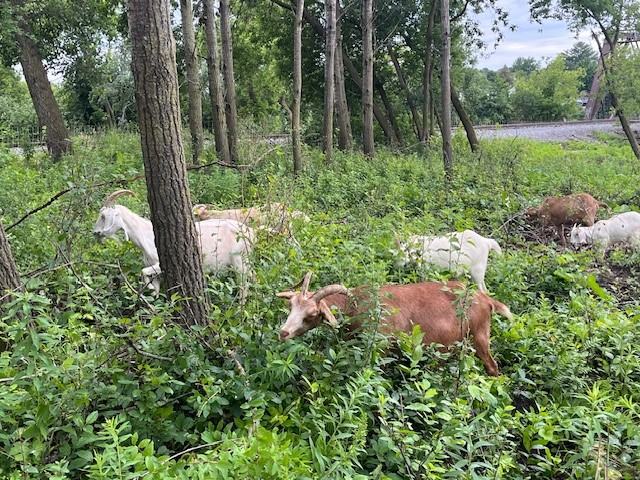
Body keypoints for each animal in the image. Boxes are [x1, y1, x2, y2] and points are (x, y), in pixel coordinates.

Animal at [93, 190, 255, 299]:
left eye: (103, 216)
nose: (95, 232)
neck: (146, 234)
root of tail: (251, 233)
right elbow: (153, 286)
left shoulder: (161, 264)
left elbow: (143, 272)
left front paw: (150, 289)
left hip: (239, 260)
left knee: (243, 285)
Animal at [276, 272, 513, 376]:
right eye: (291, 305)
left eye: (312, 314)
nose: (283, 332)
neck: (357, 306)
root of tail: (486, 300)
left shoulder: (381, 348)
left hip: (480, 335)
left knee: (492, 366)